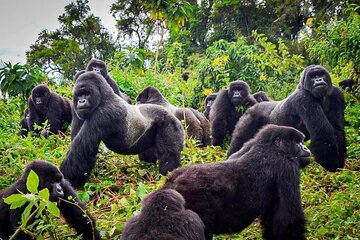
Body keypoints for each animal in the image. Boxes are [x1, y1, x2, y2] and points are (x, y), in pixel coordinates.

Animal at [165, 124, 310, 239]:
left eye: (301, 142)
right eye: (297, 142)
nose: (306, 149)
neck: (269, 147)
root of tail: (171, 182)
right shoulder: (286, 166)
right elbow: (288, 222)